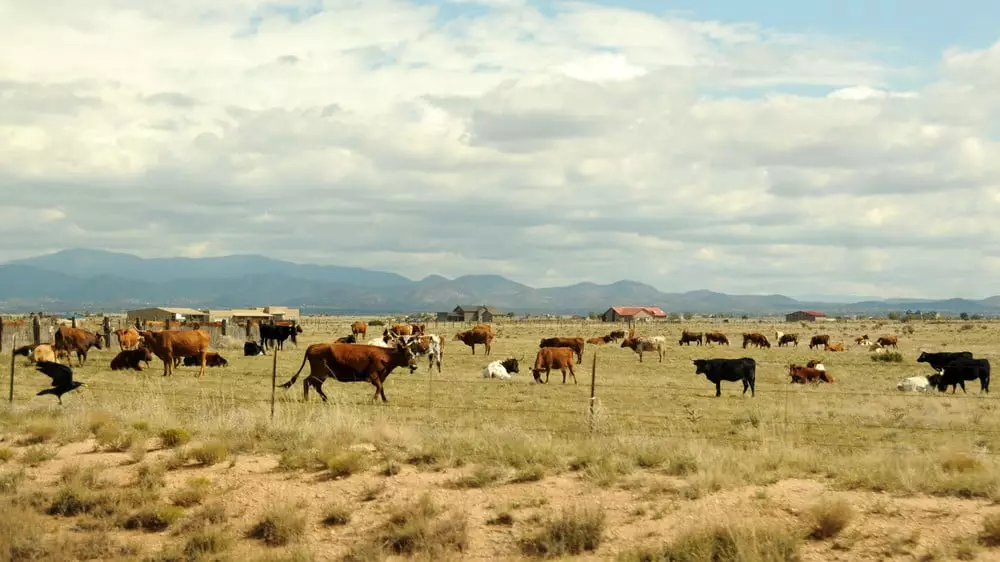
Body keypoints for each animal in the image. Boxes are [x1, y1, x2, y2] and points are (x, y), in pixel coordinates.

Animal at [280, 334, 420, 400]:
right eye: (408, 354)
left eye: (414, 353)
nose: (414, 366)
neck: (385, 355)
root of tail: (314, 346)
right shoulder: (373, 375)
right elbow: (380, 387)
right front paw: (374, 400)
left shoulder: (381, 376)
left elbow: (382, 388)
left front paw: (385, 400)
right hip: (319, 373)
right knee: (307, 382)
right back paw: (307, 398)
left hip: (322, 375)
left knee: (316, 386)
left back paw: (325, 398)